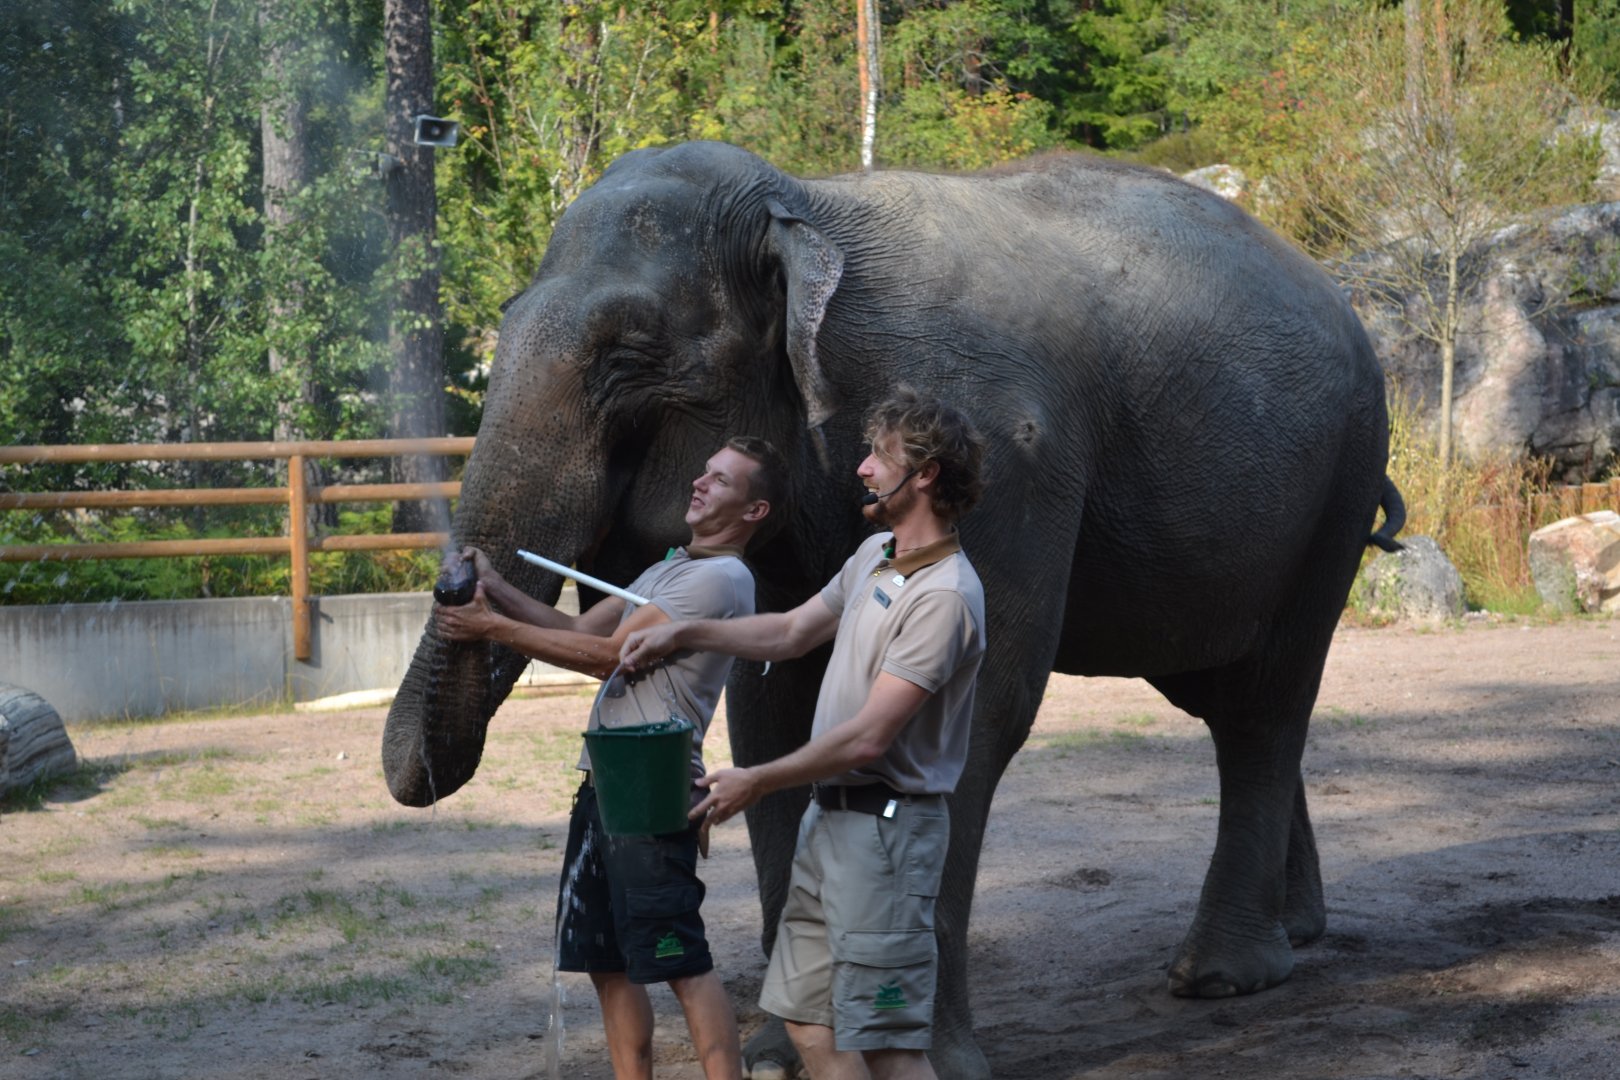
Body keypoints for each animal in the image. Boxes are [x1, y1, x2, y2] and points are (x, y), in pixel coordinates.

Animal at [382, 140, 1404, 1078]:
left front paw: (922, 1060)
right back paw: (1296, 932)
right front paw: (781, 1052)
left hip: (1341, 481)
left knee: (1267, 702)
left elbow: (980, 711)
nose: (460, 583)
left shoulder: (1000, 455)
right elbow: (774, 705)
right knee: (1217, 693)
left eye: (626, 356)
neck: (801, 204)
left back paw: (1223, 976)